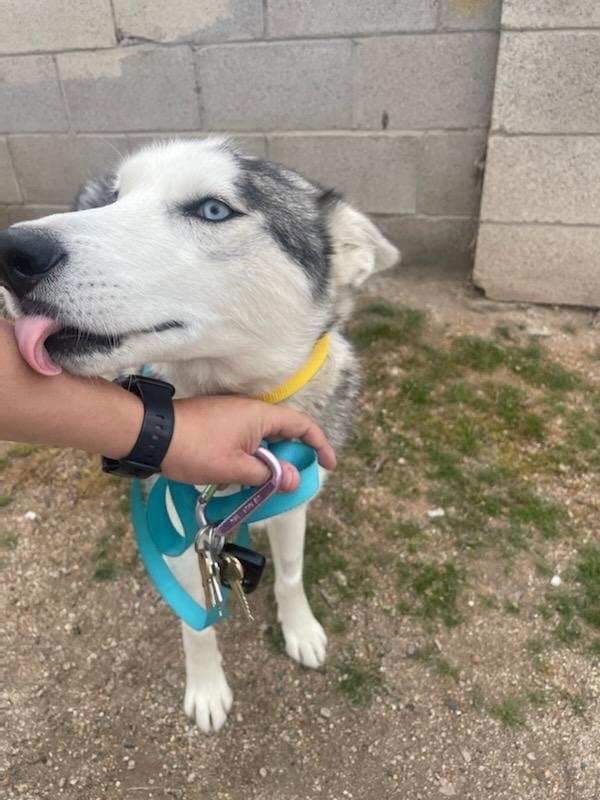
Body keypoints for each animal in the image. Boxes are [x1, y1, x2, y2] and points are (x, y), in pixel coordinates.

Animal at [0, 138, 398, 732]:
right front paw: (208, 688)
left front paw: (300, 629)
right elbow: (196, 623)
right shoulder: (178, 524)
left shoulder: (294, 498)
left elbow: (291, 574)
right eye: (119, 198)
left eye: (212, 210)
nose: (13, 251)